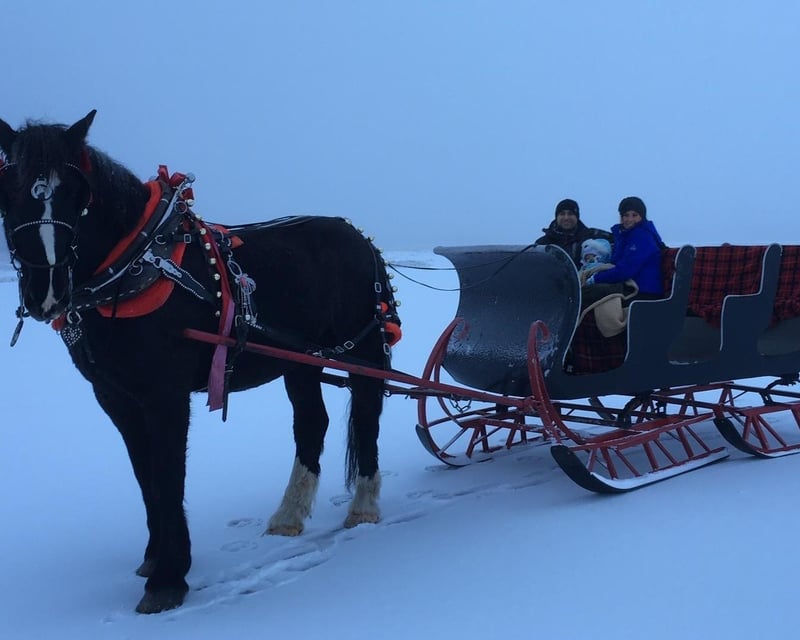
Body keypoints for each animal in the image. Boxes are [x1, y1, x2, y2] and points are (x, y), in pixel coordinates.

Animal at [0, 110, 401, 614]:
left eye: (77, 192)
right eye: (9, 191)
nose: (45, 291)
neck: (137, 265)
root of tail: (359, 236)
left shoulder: (165, 395)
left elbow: (168, 475)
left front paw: (168, 578)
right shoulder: (116, 397)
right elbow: (145, 475)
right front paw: (156, 557)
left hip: (363, 352)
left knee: (367, 417)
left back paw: (363, 508)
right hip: (301, 362)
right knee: (312, 423)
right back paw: (288, 515)